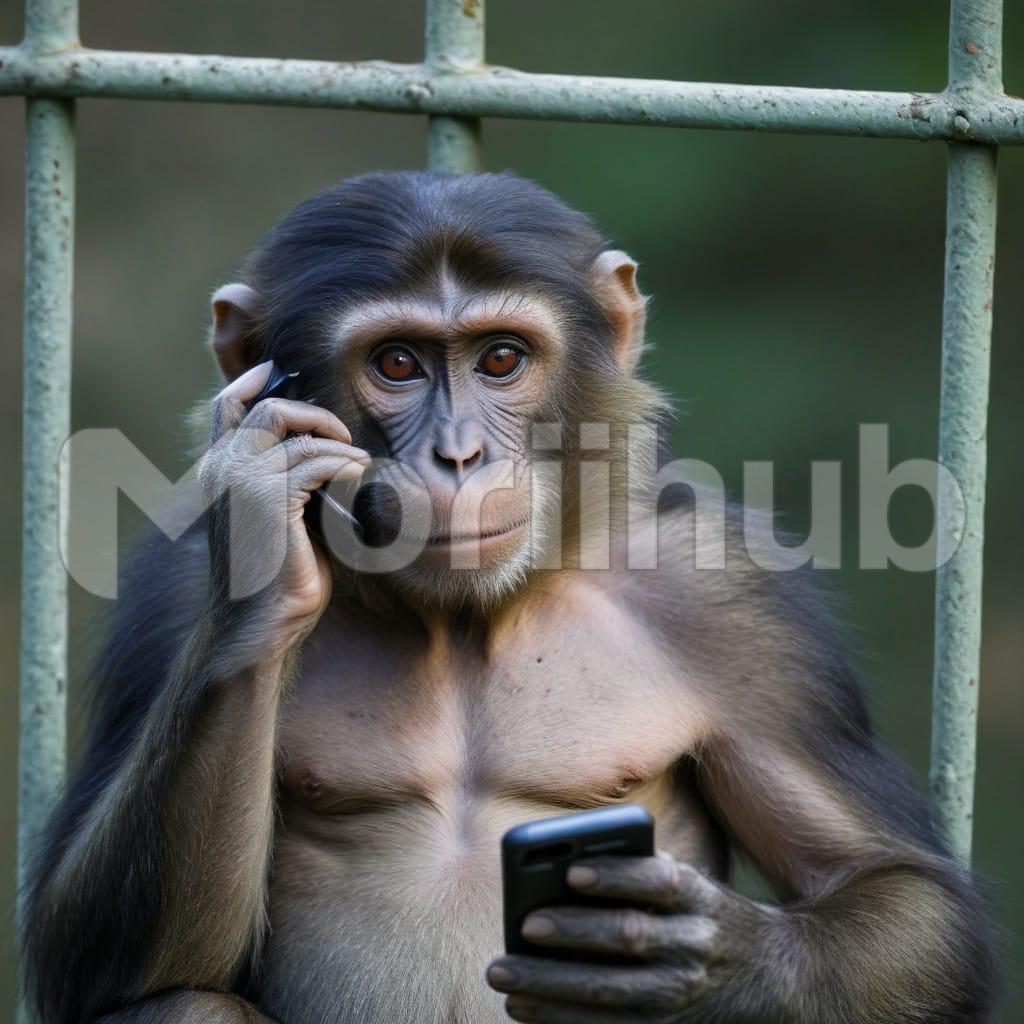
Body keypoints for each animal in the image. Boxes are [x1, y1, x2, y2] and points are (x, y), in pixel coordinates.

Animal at [21, 170, 996, 1024]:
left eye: (500, 358)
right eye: (398, 362)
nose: (459, 454)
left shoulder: (740, 607)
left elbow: (898, 892)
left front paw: (698, 957)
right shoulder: (171, 596)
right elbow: (83, 948)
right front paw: (268, 521)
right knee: (183, 1004)